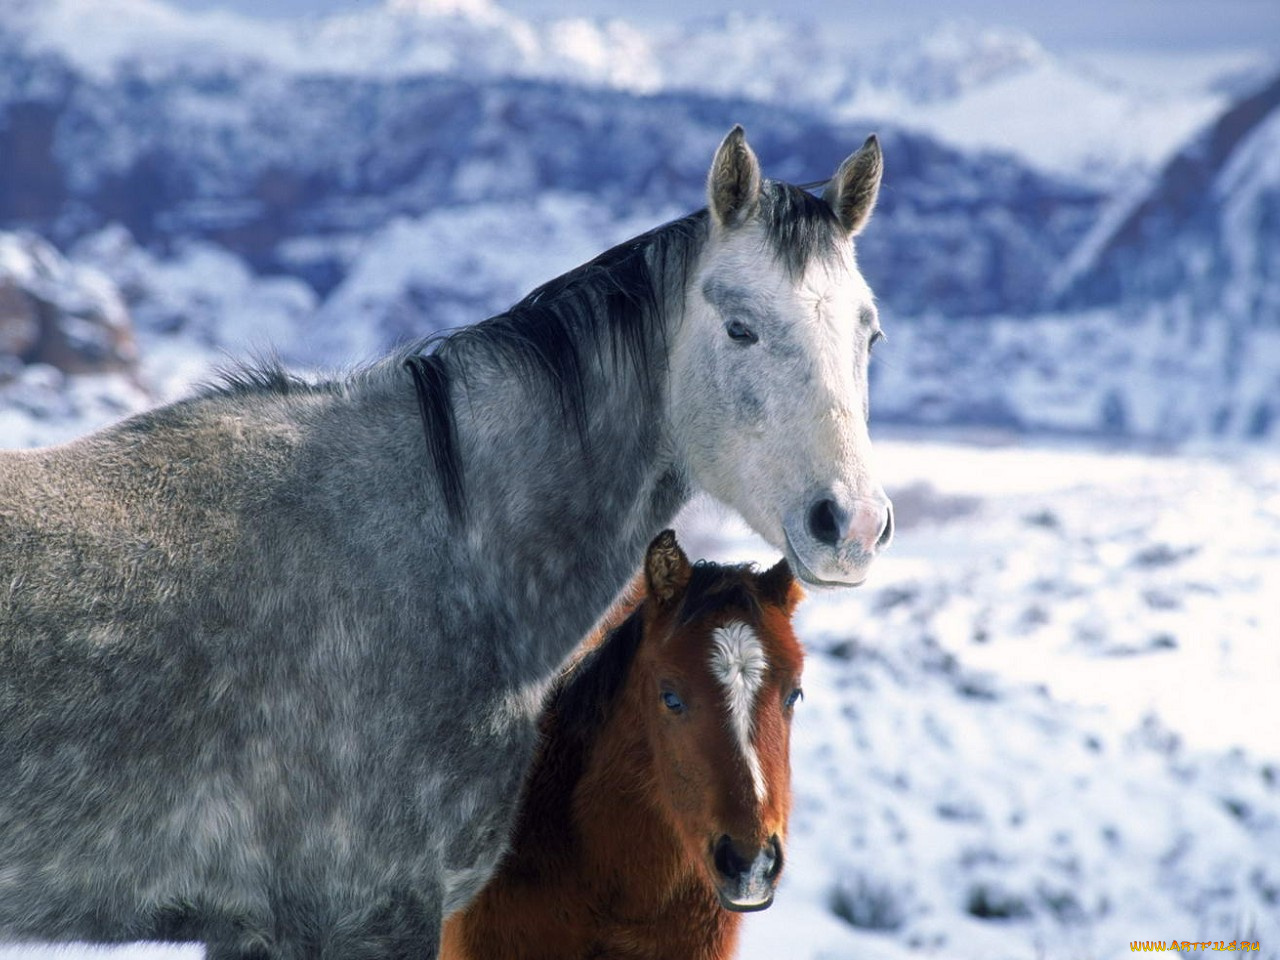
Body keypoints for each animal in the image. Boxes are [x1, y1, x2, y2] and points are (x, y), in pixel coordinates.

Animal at [0, 129, 896, 960]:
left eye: (871, 335)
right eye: (741, 328)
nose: (851, 524)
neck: (448, 556)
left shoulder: (254, 927)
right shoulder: (371, 912)